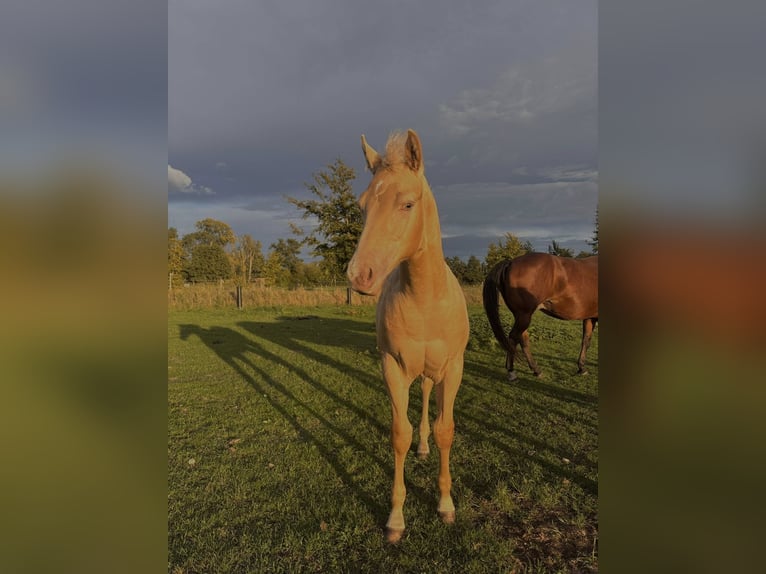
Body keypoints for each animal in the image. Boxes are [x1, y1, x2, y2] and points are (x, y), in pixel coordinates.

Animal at [347, 129, 469, 543]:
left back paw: (425, 447)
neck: (424, 300)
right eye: (363, 205)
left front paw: (445, 505)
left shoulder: (453, 368)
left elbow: (446, 429)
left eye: (408, 204)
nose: (359, 275)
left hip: (436, 370)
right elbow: (399, 434)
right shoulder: (393, 367)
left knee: (429, 395)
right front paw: (396, 519)